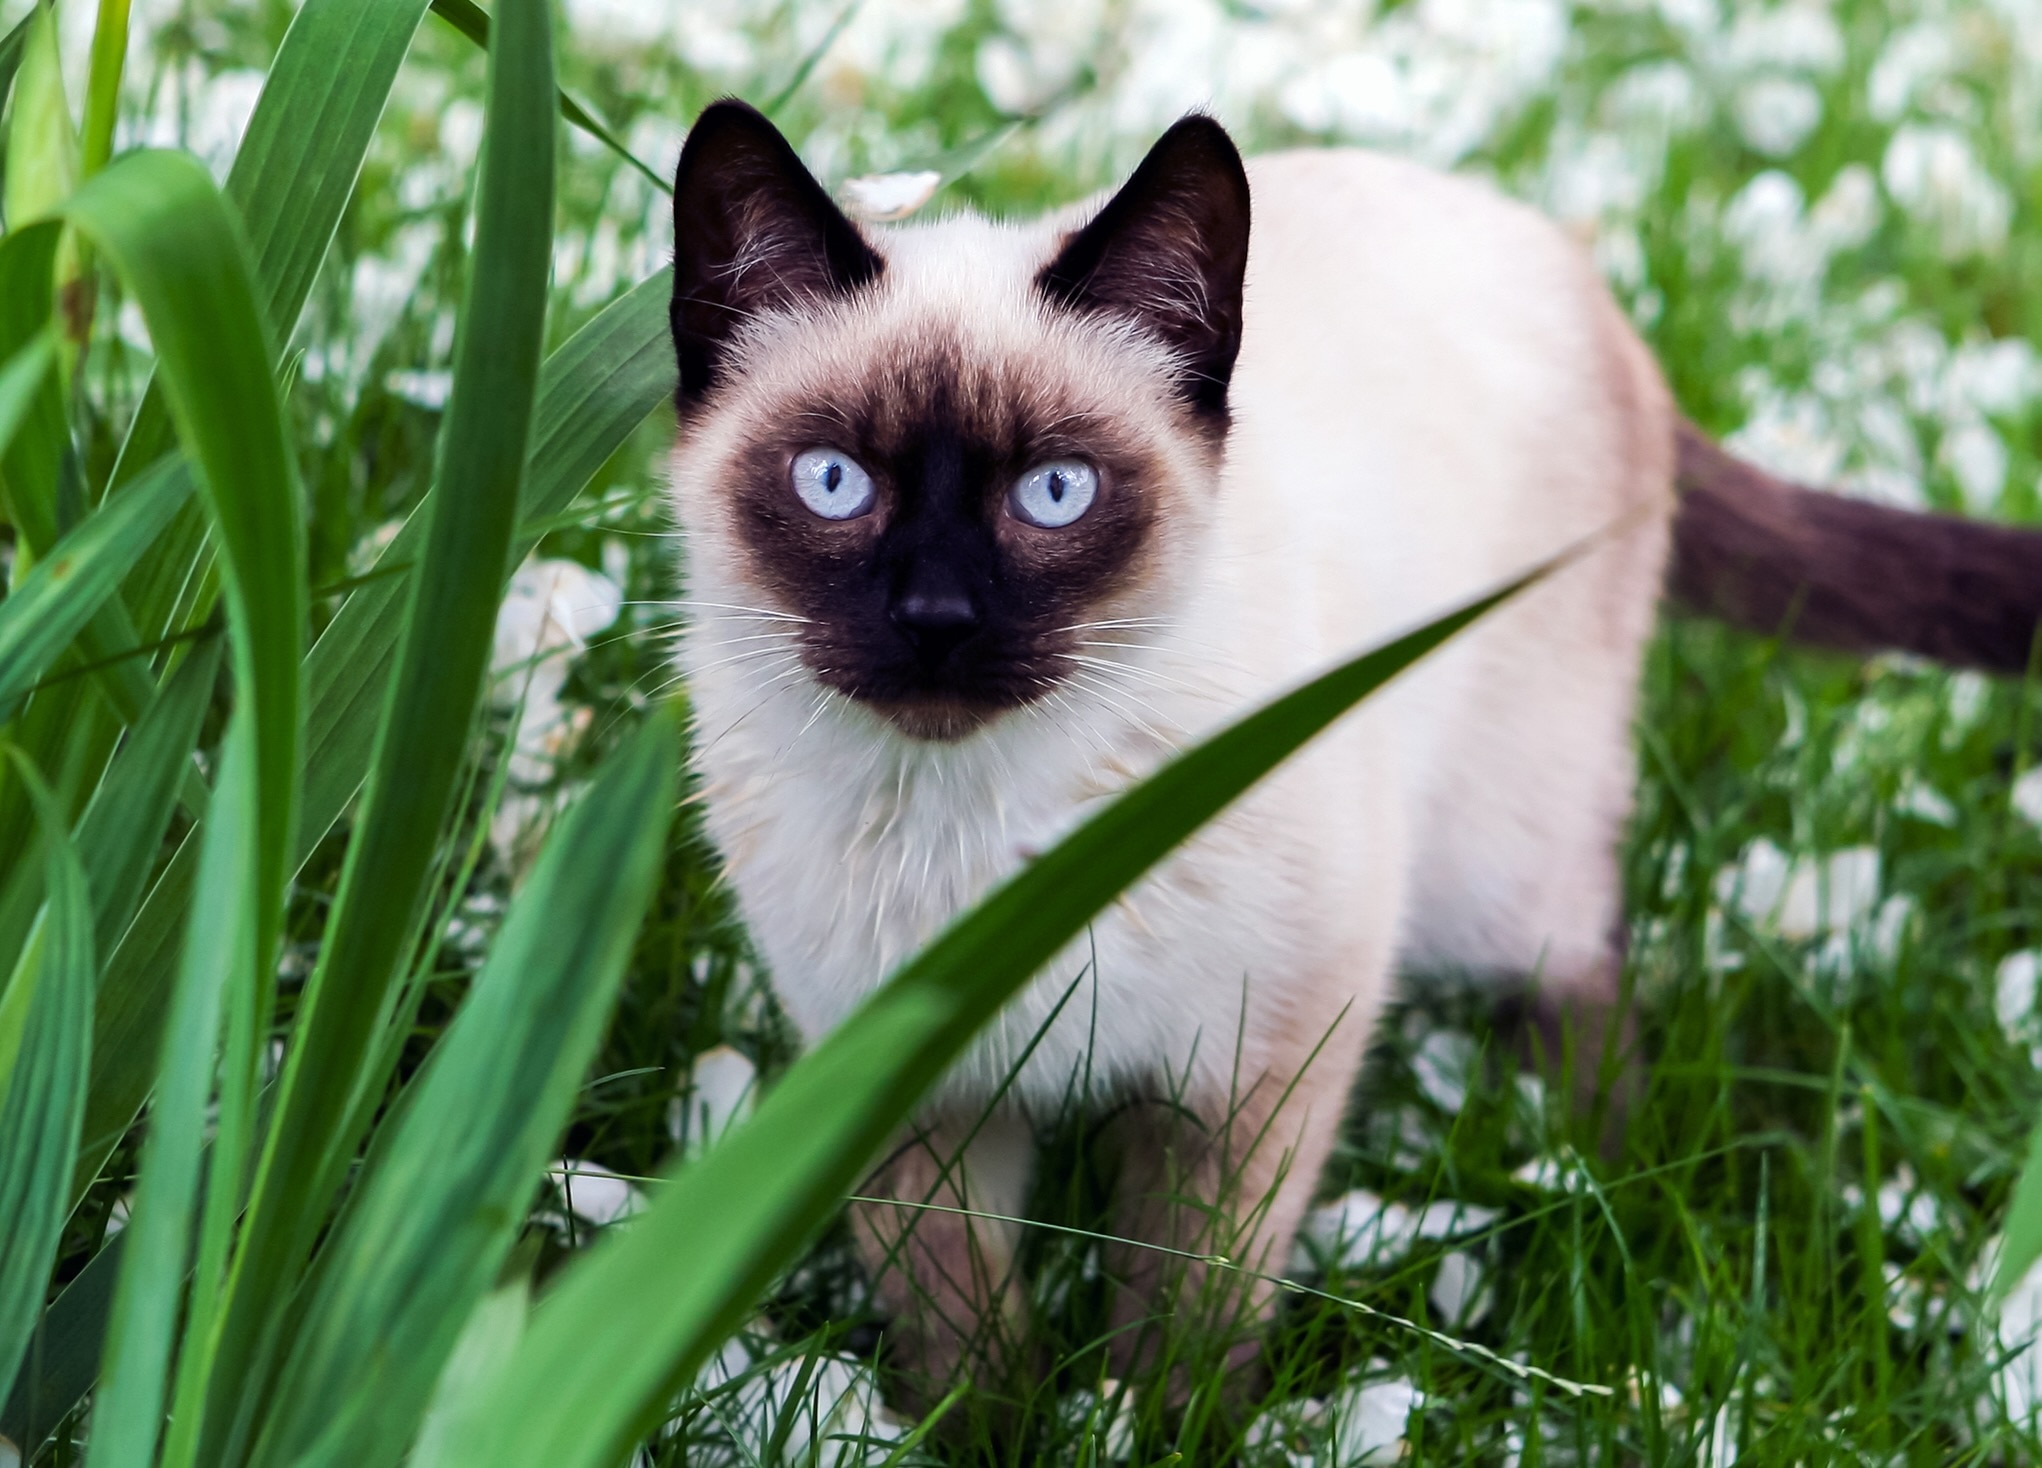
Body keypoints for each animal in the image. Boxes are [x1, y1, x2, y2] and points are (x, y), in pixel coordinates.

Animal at [661, 97, 2042, 1396]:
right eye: (833, 482)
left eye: (1052, 494)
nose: (936, 621)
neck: (984, 829)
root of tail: (1572, 267)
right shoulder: (905, 1092)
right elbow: (964, 1336)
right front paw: (995, 1427)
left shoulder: (1255, 1063)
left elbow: (1183, 1322)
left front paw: (1140, 1424)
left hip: (1490, 859)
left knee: (1581, 965)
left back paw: (1586, 1178)